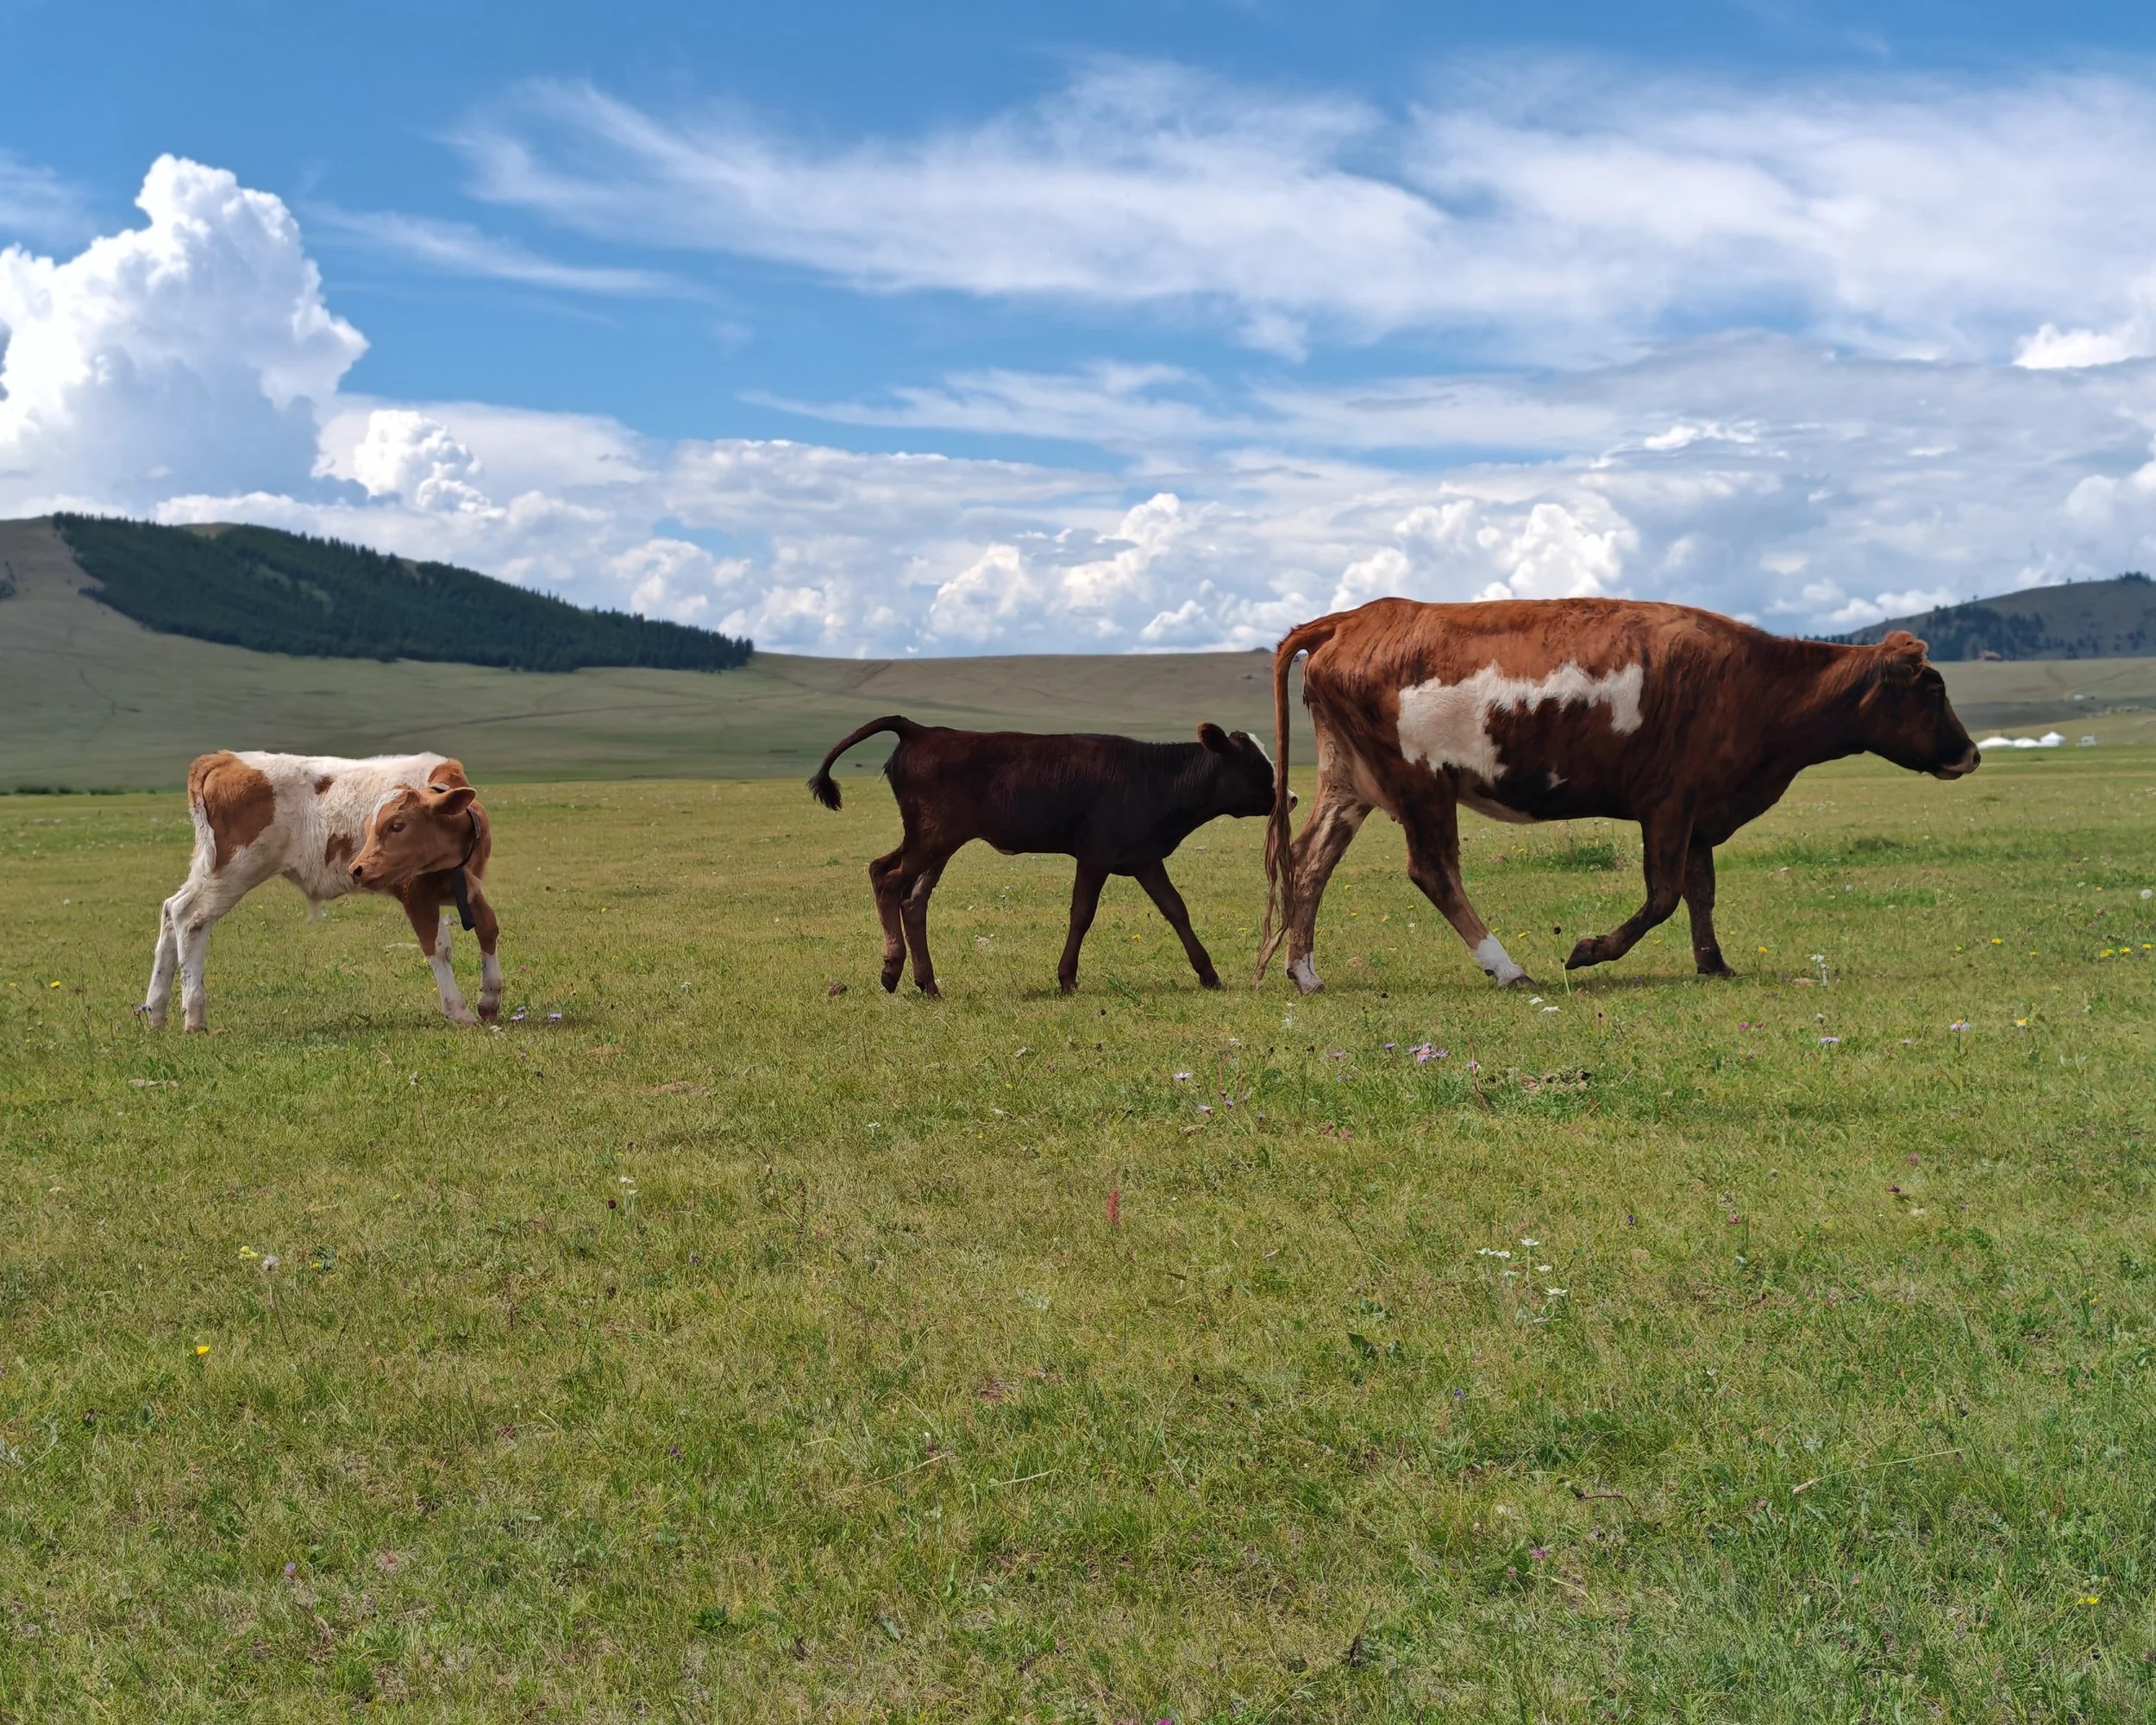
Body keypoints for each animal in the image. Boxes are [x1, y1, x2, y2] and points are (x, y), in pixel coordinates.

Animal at [141, 751, 501, 1031]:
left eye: (397, 825)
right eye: (376, 826)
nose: (358, 869)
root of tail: (223, 758)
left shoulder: (468, 887)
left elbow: (488, 928)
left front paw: (490, 997)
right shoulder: (416, 893)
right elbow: (438, 947)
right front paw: (458, 1009)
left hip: (209, 868)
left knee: (171, 909)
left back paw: (155, 1010)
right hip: (232, 872)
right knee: (190, 918)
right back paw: (194, 1015)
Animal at [809, 717, 1279, 996]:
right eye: (1259, 767)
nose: (1288, 797)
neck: (1155, 777)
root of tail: (921, 729)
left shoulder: (1144, 858)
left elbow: (1175, 909)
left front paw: (1208, 973)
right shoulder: (1095, 854)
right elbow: (1082, 913)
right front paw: (1066, 978)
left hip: (938, 844)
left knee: (913, 899)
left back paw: (928, 983)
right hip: (931, 837)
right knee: (885, 877)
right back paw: (892, 969)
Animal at [1256, 599, 1979, 993]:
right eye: (1934, 687)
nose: (1971, 754)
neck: (1755, 684)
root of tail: (1358, 618)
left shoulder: (1698, 810)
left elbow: (1700, 892)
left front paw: (1715, 964)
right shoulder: (1668, 802)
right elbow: (1664, 896)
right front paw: (1590, 950)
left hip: (1350, 782)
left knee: (1310, 861)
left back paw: (1305, 972)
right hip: (1421, 781)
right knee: (1432, 871)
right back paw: (1507, 968)